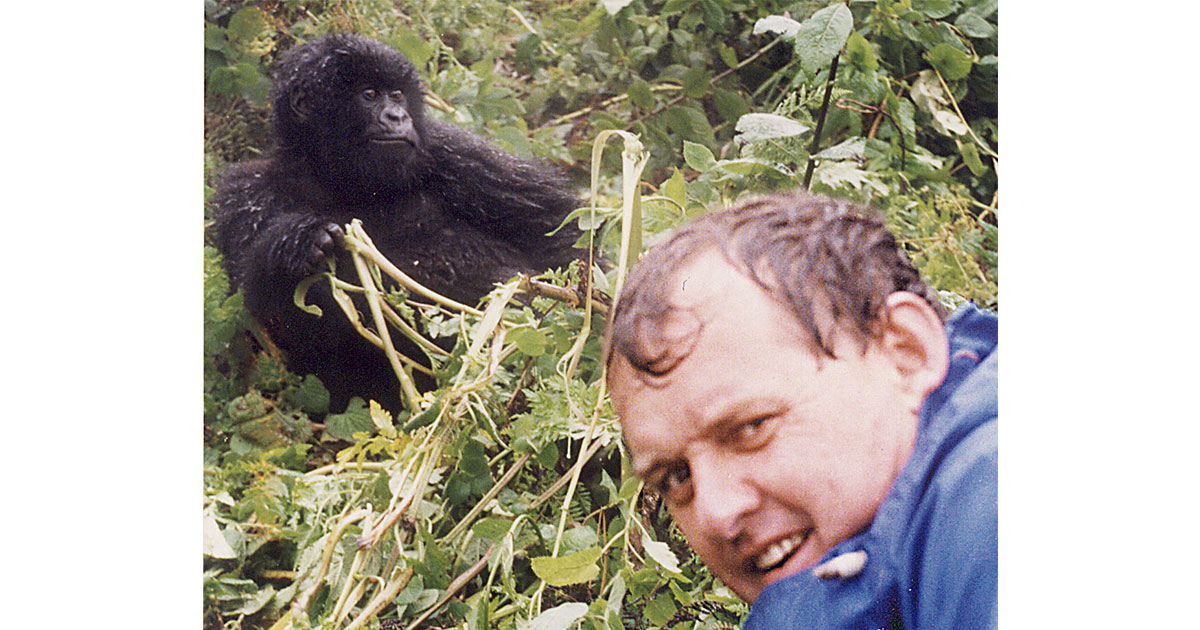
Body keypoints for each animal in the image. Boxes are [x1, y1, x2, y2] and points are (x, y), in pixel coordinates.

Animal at [212, 33, 585, 412]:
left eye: (397, 94)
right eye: (369, 94)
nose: (397, 116)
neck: (338, 179)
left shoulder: (459, 152)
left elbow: (560, 237)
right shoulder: (243, 192)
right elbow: (257, 316)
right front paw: (298, 243)